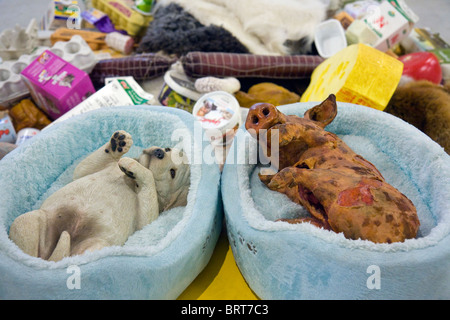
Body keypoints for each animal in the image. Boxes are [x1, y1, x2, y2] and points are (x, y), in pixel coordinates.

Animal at [9, 131, 190, 262]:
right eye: (167, 149)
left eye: (172, 173)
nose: (159, 152)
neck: (129, 181)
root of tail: (49, 257)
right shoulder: (85, 171)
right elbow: (85, 166)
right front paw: (118, 143)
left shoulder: (148, 219)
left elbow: (149, 179)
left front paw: (134, 166)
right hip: (28, 220)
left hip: (95, 247)